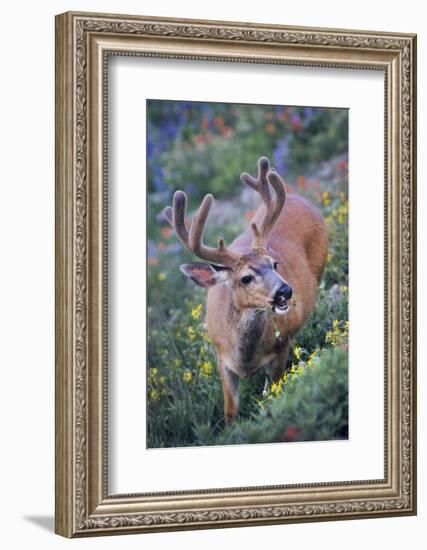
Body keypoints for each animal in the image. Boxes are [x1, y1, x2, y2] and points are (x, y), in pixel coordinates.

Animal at [164, 157, 328, 424]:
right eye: (246, 278)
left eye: (274, 264)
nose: (285, 290)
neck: (246, 359)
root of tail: (298, 198)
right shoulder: (221, 357)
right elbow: (230, 411)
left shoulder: (281, 348)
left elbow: (269, 396)